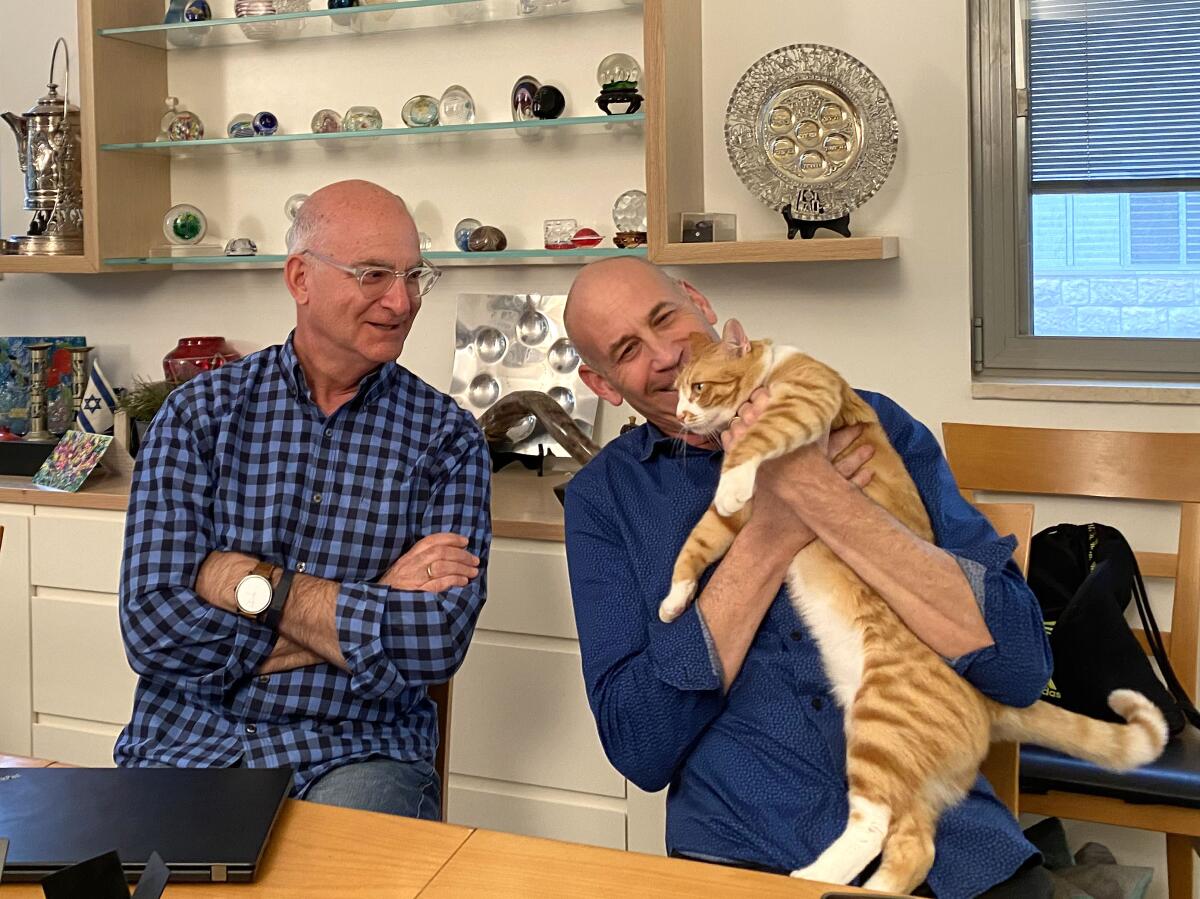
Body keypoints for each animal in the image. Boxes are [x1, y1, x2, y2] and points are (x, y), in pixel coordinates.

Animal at [662, 321, 1166, 892]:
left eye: (698, 388)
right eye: (675, 392)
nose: (680, 417)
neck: (773, 366)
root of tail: (983, 701)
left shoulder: (805, 401)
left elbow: (753, 443)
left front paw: (732, 474)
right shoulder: (743, 521)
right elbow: (698, 543)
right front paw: (674, 602)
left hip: (879, 726)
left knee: (874, 828)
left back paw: (815, 876)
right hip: (902, 762)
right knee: (915, 847)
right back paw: (871, 888)